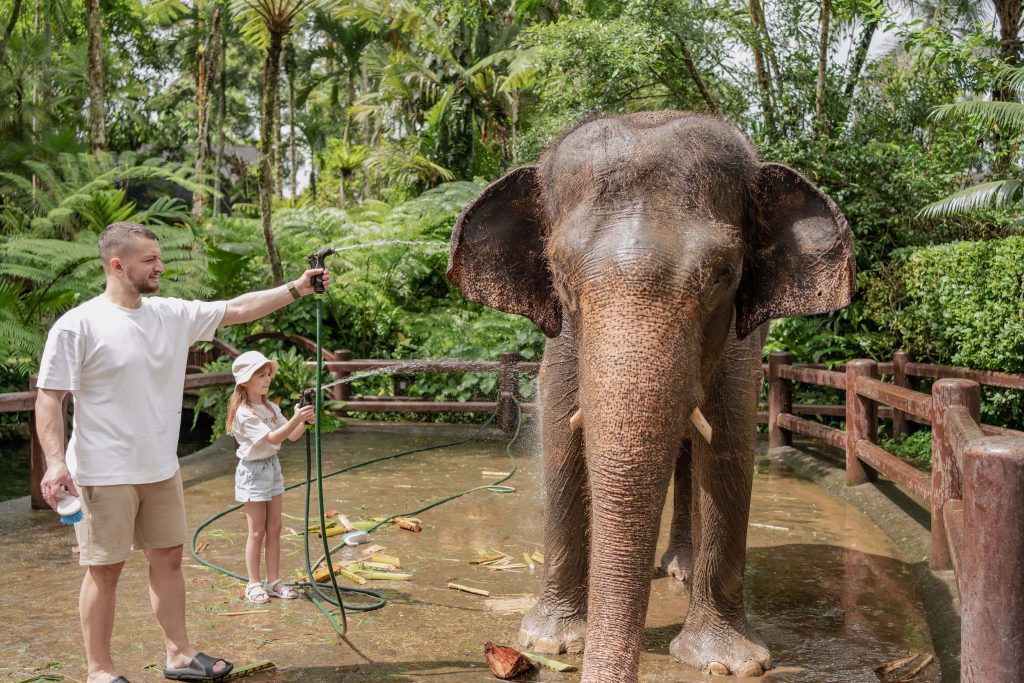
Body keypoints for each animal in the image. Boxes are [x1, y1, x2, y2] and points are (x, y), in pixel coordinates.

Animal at [446, 111, 854, 681]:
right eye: (561, 278)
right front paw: (549, 642)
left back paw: (680, 569)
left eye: (722, 277)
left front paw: (729, 664)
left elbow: (729, 451)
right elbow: (561, 442)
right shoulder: (562, 344)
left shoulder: (739, 347)